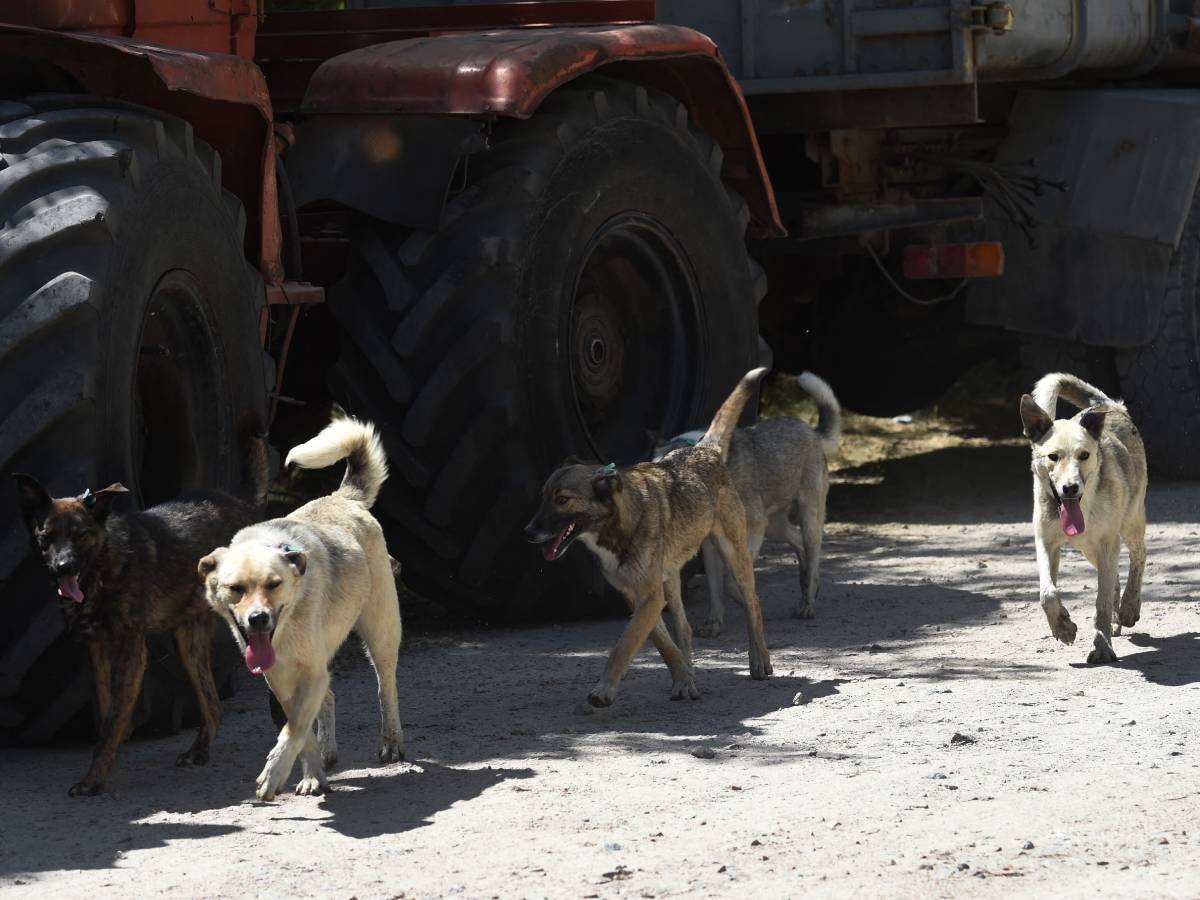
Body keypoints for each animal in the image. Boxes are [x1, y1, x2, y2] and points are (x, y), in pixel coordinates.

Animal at [11, 446, 266, 796]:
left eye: (80, 535)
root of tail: (243, 506)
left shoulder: (131, 653)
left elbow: (112, 720)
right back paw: (198, 750)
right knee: (213, 704)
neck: (103, 567)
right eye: (46, 536)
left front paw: (94, 779)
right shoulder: (98, 650)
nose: (64, 567)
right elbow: (106, 712)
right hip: (188, 643)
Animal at [198, 420, 403, 801]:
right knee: (329, 697)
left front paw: (275, 772)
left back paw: (392, 743)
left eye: (274, 584)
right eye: (236, 589)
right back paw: (326, 753)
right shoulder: (281, 680)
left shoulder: (309, 674)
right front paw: (310, 773)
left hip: (380, 634)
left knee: (386, 689)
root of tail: (342, 498)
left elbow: (293, 729)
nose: (258, 619)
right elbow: (300, 729)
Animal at [523, 369, 768, 710]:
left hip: (734, 554)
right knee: (684, 628)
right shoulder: (640, 597)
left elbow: (624, 646)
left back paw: (760, 660)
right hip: (671, 580)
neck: (618, 526)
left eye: (562, 500)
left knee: (753, 604)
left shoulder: (650, 599)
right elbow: (662, 643)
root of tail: (704, 449)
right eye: (543, 497)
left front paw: (604, 689)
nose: (528, 532)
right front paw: (683, 679)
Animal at [1017, 369, 1147, 667]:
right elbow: (1047, 594)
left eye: (1084, 455)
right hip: (1089, 548)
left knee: (1139, 555)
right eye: (1053, 457)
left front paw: (1101, 647)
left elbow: (1101, 600)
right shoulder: (1046, 543)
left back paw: (1128, 607)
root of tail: (1110, 405)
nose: (1070, 488)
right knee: (1113, 576)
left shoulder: (1108, 543)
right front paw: (1063, 628)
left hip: (1130, 522)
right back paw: (1116, 617)